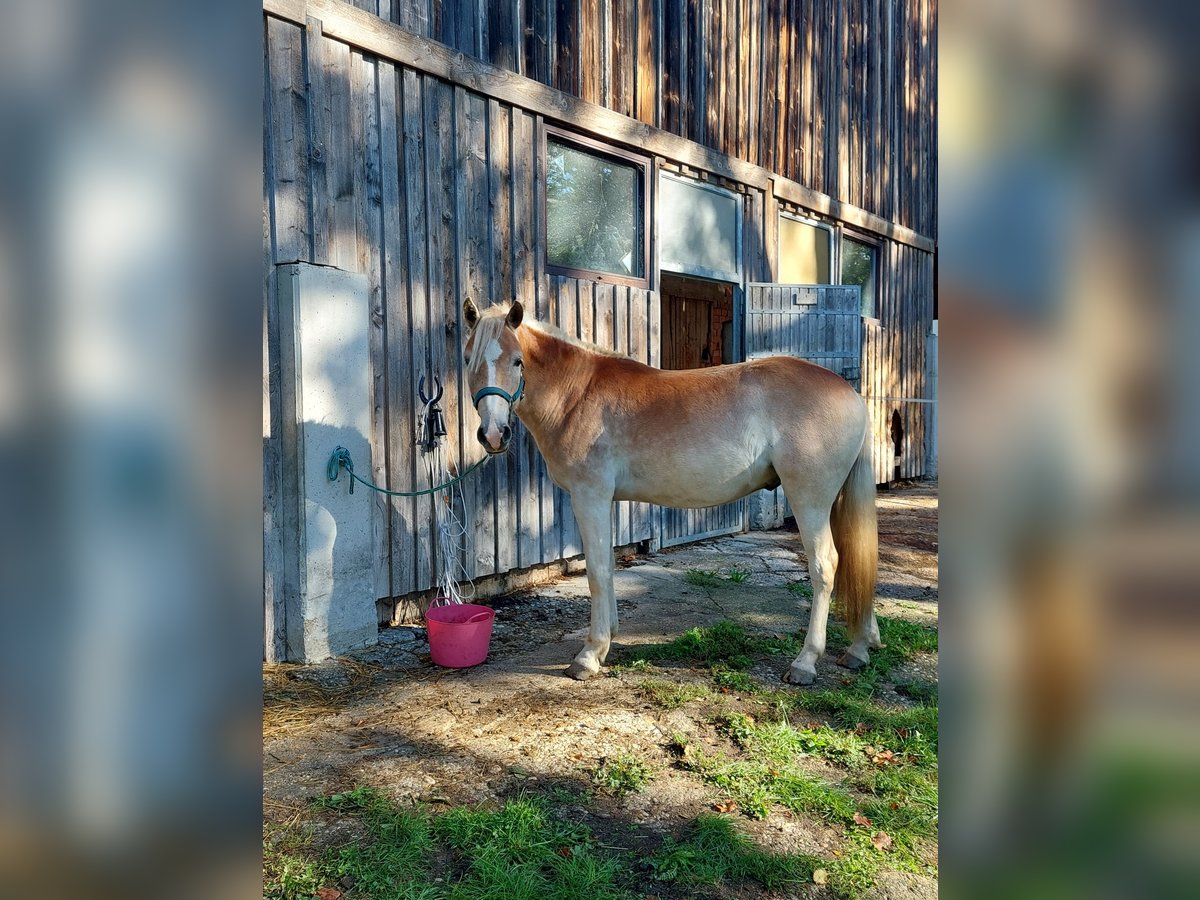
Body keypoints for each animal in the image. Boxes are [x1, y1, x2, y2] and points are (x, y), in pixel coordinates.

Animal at [458, 296, 883, 681]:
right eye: (468, 361)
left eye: (517, 361)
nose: (494, 436)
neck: (577, 394)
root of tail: (849, 393)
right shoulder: (604, 501)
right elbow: (607, 566)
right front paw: (609, 638)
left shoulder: (589, 496)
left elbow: (597, 570)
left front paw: (590, 654)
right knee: (854, 558)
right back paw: (860, 648)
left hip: (810, 499)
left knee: (826, 565)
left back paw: (805, 662)